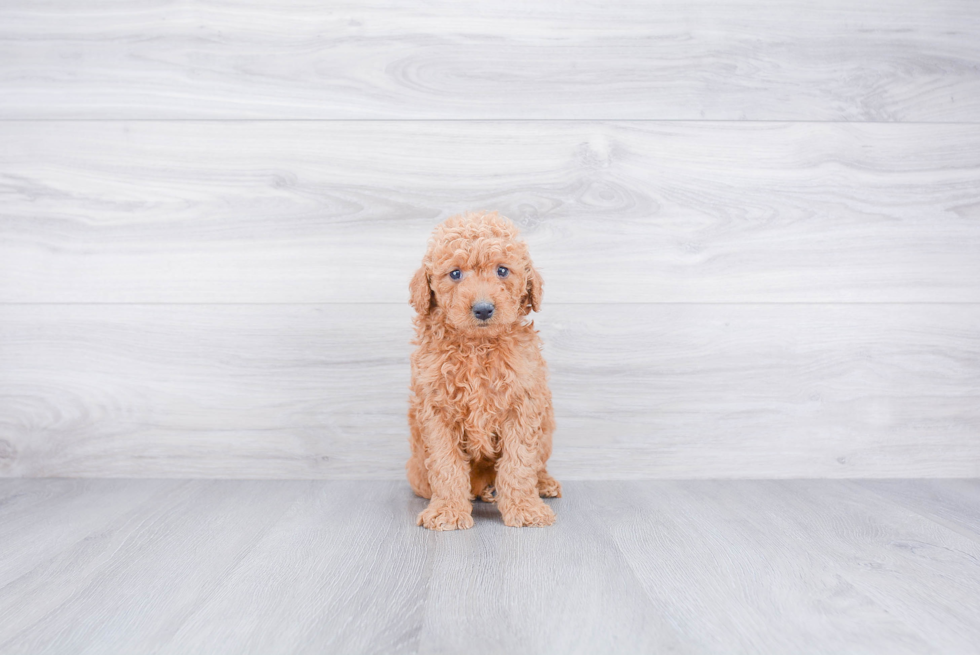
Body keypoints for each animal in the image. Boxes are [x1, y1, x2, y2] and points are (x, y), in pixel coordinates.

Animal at [404, 213, 560, 532]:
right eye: (455, 274)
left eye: (502, 270)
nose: (484, 309)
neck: (477, 346)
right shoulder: (437, 409)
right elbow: (446, 464)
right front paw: (448, 511)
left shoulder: (522, 404)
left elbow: (520, 462)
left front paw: (525, 508)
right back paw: (484, 491)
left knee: (537, 464)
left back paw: (540, 484)